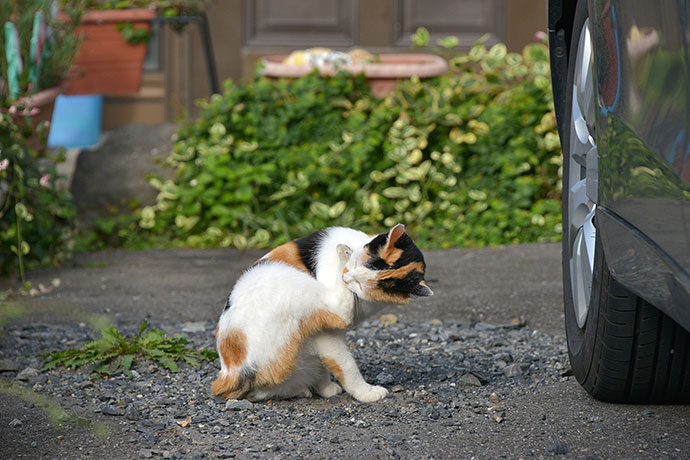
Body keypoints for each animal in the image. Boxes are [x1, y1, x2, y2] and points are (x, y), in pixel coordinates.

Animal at [212, 224, 432, 402]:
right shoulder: (327, 332)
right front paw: (366, 393)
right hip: (293, 283)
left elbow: (329, 362)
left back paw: (301, 389)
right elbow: (346, 364)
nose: (346, 277)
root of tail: (230, 373)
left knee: (260, 392)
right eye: (356, 266)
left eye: (363, 284)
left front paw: (327, 388)